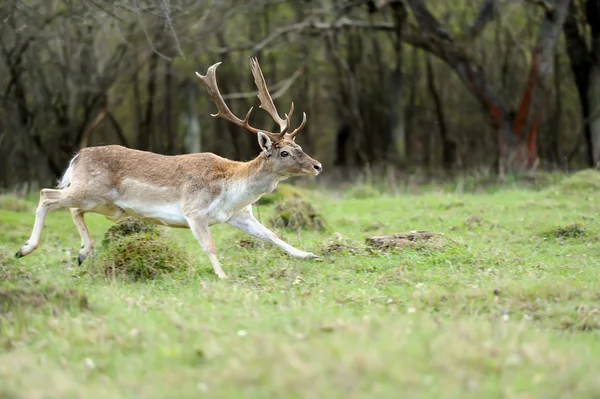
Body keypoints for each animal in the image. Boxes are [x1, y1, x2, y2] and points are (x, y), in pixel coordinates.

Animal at [15, 57, 324, 280]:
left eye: (298, 146)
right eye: (284, 152)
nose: (317, 165)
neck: (231, 188)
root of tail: (77, 158)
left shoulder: (239, 215)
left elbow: (272, 236)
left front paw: (308, 255)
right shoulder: (193, 210)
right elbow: (209, 245)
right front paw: (223, 276)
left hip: (106, 205)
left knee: (72, 209)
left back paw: (81, 253)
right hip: (90, 190)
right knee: (47, 195)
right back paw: (24, 249)